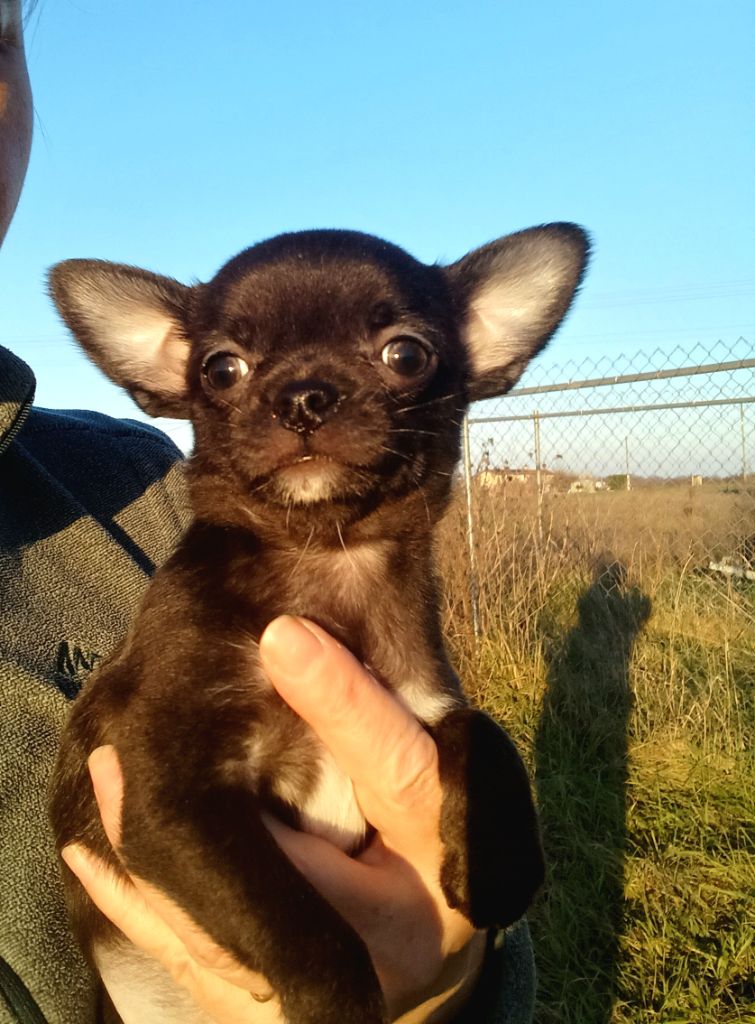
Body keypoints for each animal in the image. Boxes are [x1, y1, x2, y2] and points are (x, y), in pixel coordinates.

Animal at [48, 226, 590, 1024]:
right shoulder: (165, 794)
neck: (331, 554)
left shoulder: (422, 701)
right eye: (220, 369)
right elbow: (291, 915)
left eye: (407, 355)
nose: (303, 394)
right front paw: (341, 1000)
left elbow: (483, 730)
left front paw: (502, 862)